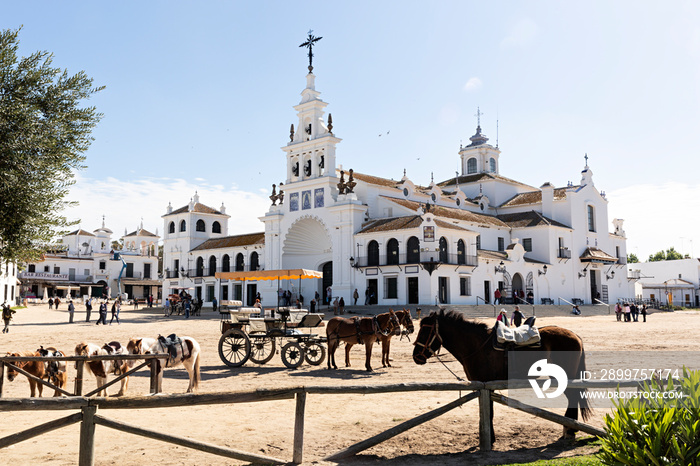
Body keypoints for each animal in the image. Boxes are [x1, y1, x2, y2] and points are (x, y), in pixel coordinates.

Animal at [412, 312, 592, 442]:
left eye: (426, 331)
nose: (416, 356)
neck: (477, 345)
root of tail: (575, 335)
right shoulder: (484, 388)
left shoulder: (486, 385)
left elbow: (489, 413)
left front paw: (490, 439)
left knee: (573, 397)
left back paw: (570, 430)